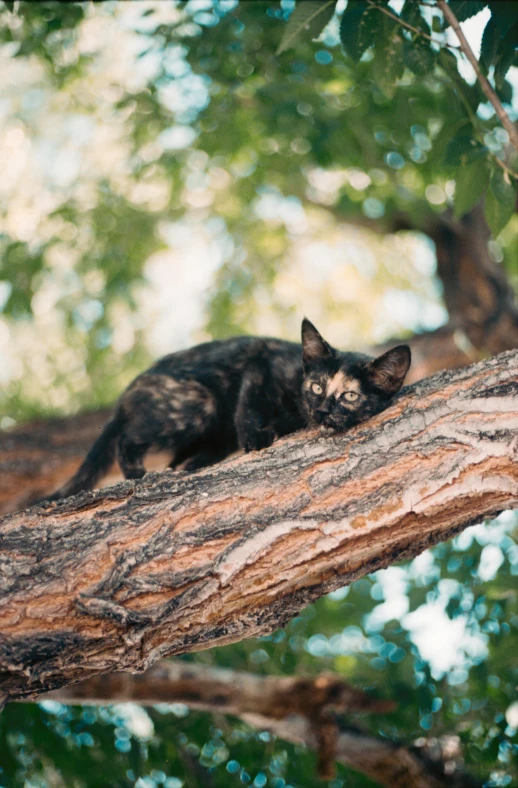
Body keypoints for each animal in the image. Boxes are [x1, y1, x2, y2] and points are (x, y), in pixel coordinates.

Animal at [42, 318, 412, 498]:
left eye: (349, 396)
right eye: (317, 386)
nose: (321, 411)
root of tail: (127, 394)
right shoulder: (259, 363)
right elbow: (247, 407)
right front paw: (255, 438)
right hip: (198, 404)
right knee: (125, 439)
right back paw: (137, 473)